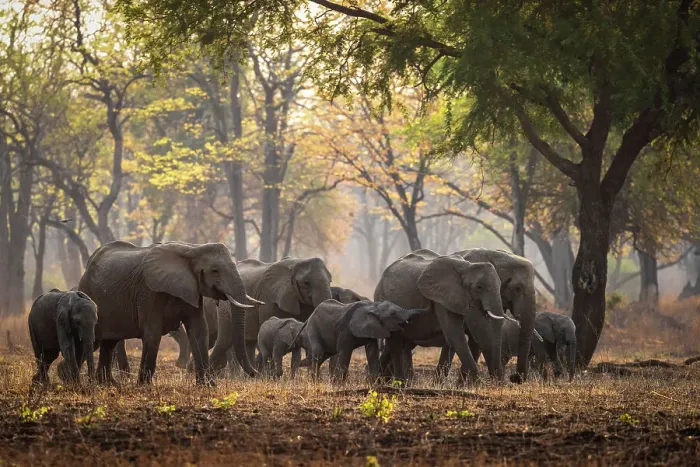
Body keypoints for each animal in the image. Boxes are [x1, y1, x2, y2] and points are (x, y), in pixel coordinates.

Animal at [78, 240, 258, 386]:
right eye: (214, 271)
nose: (255, 374)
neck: (192, 249)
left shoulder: (192, 289)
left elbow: (199, 330)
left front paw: (208, 386)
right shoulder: (149, 291)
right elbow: (153, 332)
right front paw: (144, 385)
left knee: (109, 342)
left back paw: (108, 384)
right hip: (89, 292)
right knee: (93, 340)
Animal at [374, 250, 508, 384]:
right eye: (479, 287)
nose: (499, 382)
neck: (467, 266)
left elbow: (481, 333)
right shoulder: (441, 298)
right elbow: (455, 335)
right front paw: (476, 384)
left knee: (404, 343)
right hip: (383, 300)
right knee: (395, 344)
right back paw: (396, 382)